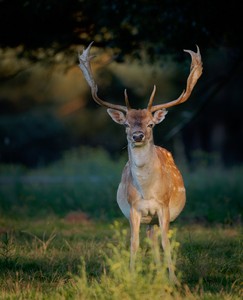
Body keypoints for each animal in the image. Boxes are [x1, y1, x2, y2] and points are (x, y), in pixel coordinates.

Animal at [77, 42, 201, 284]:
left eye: (151, 124)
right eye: (126, 124)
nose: (137, 135)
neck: (147, 190)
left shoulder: (163, 207)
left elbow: (166, 242)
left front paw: (174, 280)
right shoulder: (134, 209)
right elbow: (134, 244)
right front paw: (132, 277)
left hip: (157, 217)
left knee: (156, 239)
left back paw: (162, 275)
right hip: (147, 218)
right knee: (150, 238)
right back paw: (156, 273)